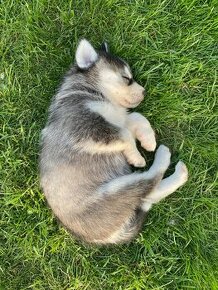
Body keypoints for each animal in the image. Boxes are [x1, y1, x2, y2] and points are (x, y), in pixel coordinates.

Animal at [39, 39, 189, 245]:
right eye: (126, 78)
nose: (144, 92)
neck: (94, 93)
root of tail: (109, 237)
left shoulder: (119, 119)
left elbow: (138, 117)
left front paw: (148, 141)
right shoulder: (87, 125)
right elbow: (125, 134)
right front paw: (136, 155)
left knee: (149, 196)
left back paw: (180, 172)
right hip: (116, 190)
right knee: (149, 183)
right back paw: (163, 156)